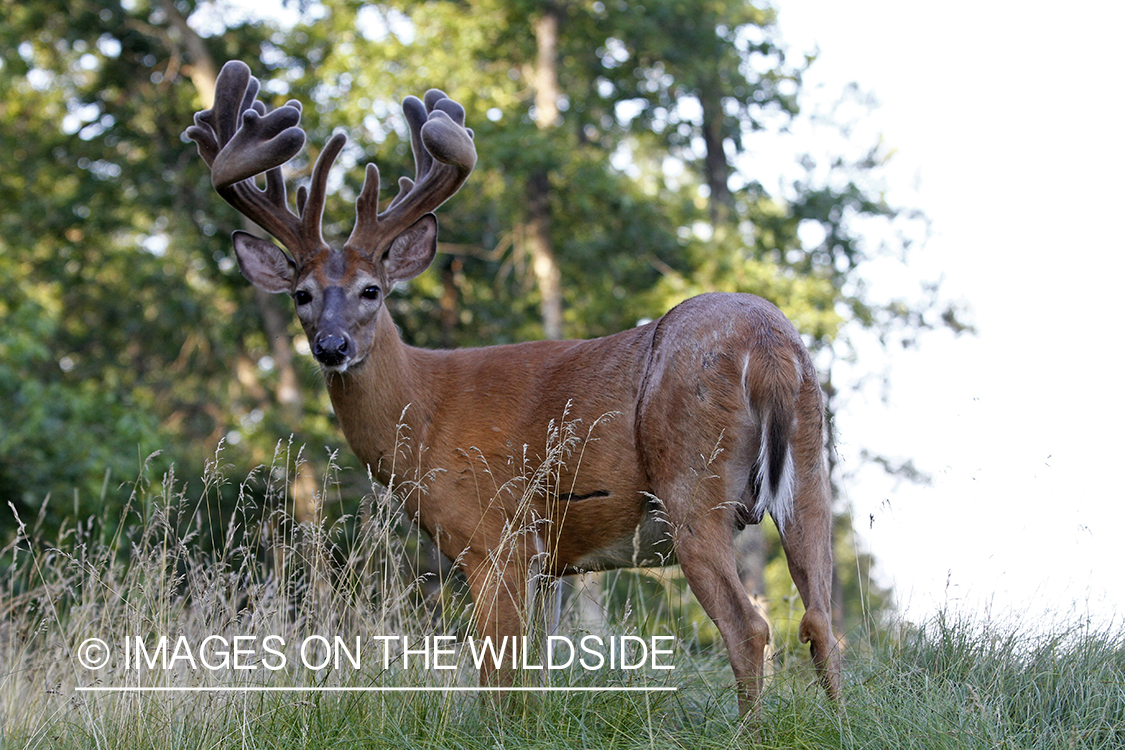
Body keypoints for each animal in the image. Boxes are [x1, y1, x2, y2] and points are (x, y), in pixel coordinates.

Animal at [186, 60, 837, 715]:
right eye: (302, 294)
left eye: (372, 290)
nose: (331, 345)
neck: (425, 410)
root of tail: (767, 342)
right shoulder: (548, 561)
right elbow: (537, 675)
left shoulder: (492, 536)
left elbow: (498, 677)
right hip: (810, 468)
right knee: (822, 621)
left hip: (691, 482)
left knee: (749, 627)